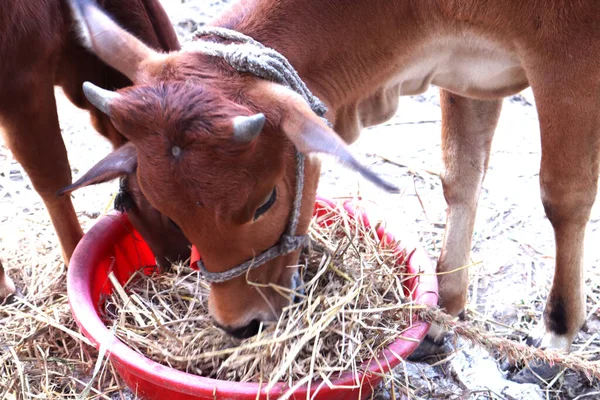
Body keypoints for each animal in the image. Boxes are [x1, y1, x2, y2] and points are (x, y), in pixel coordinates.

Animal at [67, 0, 596, 380]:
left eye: (264, 202)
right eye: (167, 212)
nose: (239, 325)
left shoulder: (566, 59)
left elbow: (563, 196)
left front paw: (556, 337)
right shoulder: (467, 74)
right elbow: (461, 177)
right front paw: (440, 315)